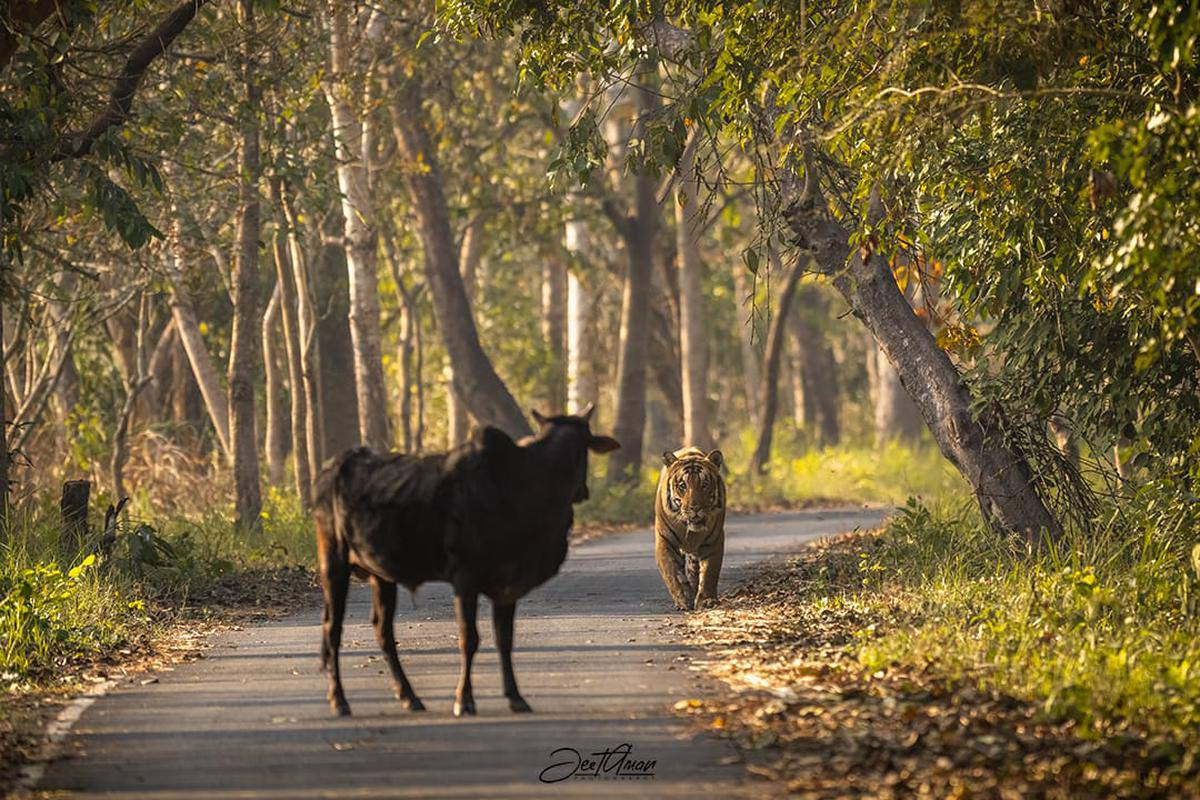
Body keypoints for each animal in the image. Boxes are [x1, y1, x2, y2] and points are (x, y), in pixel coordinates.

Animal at [314, 402, 619, 714]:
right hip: (334, 563)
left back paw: (410, 697)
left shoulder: (507, 584)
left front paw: (516, 697)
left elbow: (504, 639)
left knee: (383, 632)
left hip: (381, 575)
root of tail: (332, 468)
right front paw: (464, 699)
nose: (583, 491)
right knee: (332, 629)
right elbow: (469, 638)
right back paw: (340, 701)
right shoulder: (465, 578)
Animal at [657, 448, 720, 609]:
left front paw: (707, 600)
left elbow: (710, 572)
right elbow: (673, 573)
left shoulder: (713, 541)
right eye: (682, 485)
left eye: (704, 484)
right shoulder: (665, 541)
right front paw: (684, 600)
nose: (695, 508)